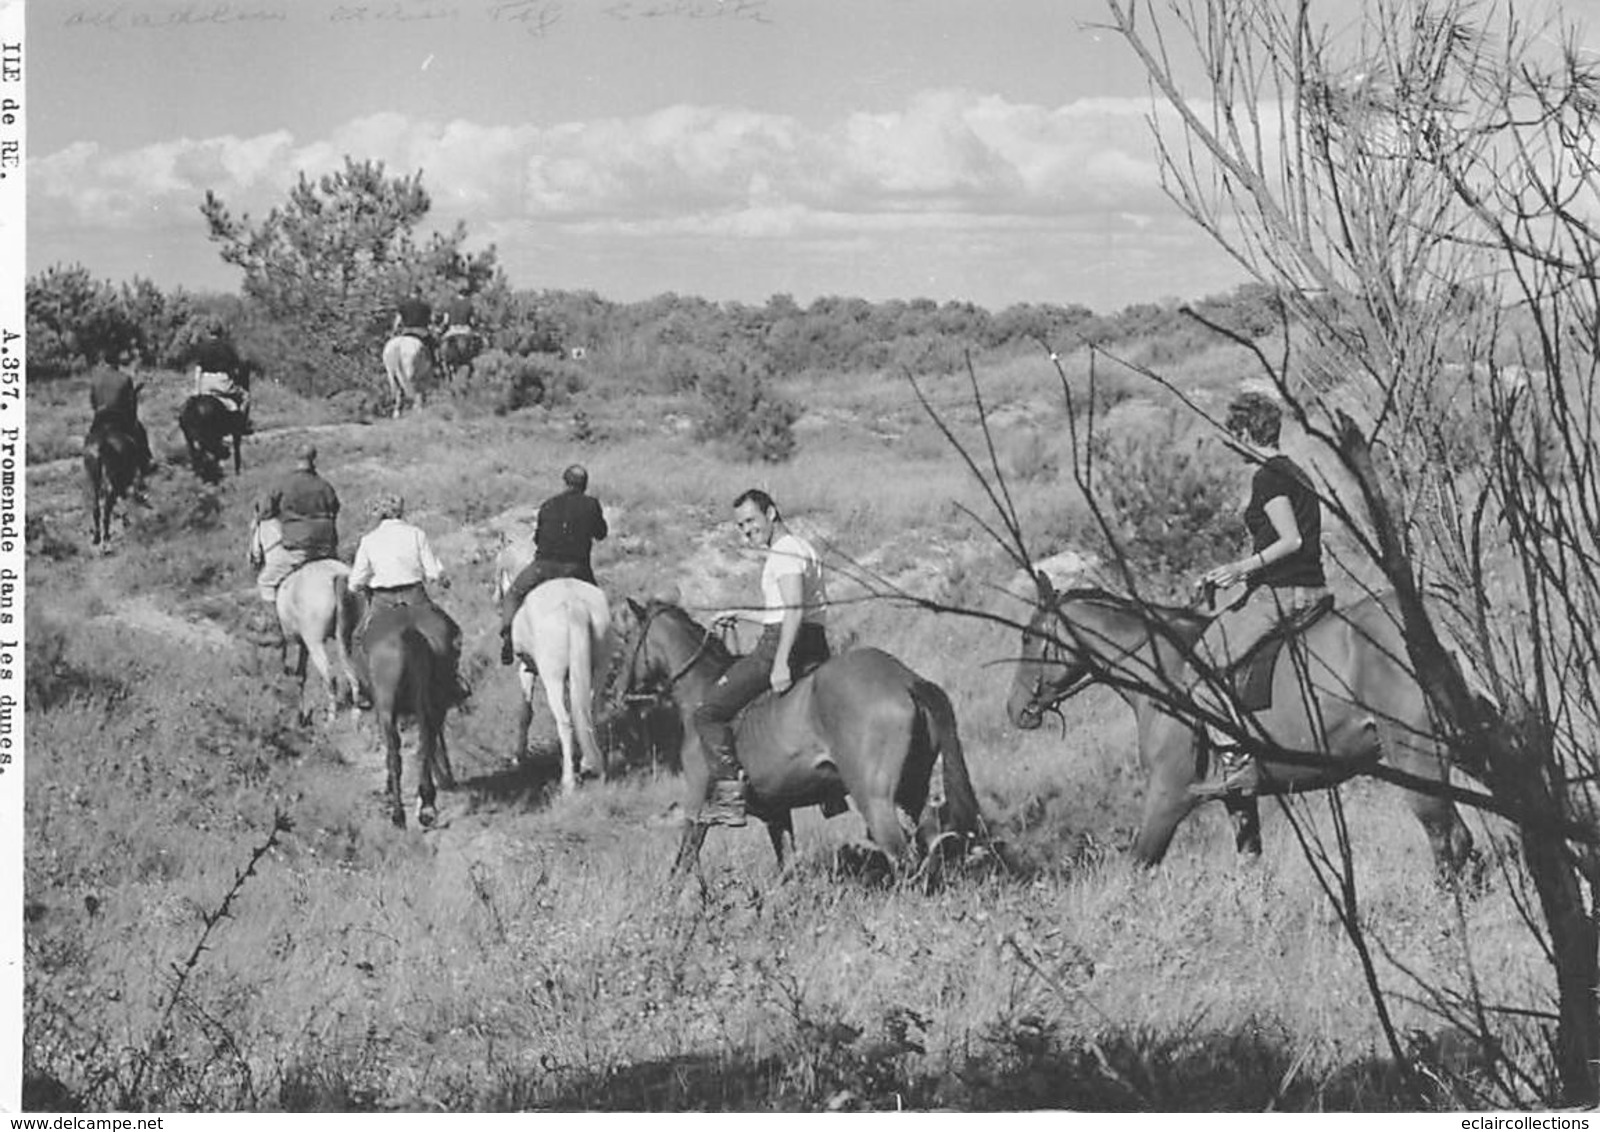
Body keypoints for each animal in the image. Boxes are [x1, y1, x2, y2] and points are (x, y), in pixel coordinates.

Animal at [82, 412, 139, 546]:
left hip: (93, 480)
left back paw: (97, 536)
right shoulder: (125, 477)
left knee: (96, 507)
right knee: (108, 506)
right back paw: (106, 535)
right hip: (112, 479)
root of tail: (102, 445)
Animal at [347, 604, 454, 825]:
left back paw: (399, 814)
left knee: (395, 754)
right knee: (426, 742)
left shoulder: (382, 710)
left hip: (387, 705)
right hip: (432, 701)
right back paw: (427, 805)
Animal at [512, 578, 611, 793]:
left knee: (565, 722)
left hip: (553, 678)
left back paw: (568, 782)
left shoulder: (526, 669)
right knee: (589, 714)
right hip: (600, 669)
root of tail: (574, 604)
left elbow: (525, 713)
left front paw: (519, 756)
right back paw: (589, 764)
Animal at [611, 601, 985, 876]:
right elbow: (788, 867)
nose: (617, 691)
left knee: (902, 855)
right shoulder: (776, 812)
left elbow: (682, 865)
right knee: (931, 846)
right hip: (913, 791)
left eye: (627, 639)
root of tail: (907, 680)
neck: (701, 691)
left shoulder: (697, 808)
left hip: (875, 799)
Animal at [1004, 578, 1478, 882]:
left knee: (1448, 837)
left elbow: (1138, 867)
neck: (1161, 672)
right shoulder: (1237, 797)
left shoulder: (1168, 795)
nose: (1015, 711)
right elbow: (1250, 865)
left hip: (1415, 757)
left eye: (1027, 637)